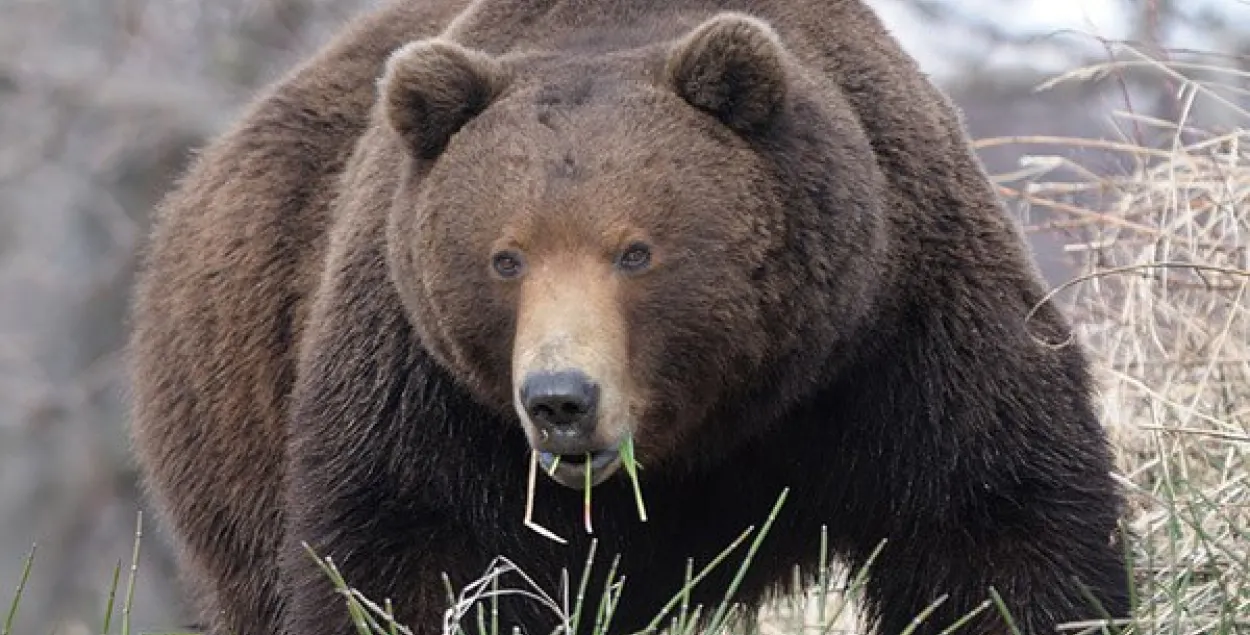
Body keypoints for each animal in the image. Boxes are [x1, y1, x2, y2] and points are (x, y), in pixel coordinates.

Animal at [126, 1, 1135, 635]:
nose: (560, 399)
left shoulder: (899, 332)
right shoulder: (424, 387)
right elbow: (411, 561)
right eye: (505, 256)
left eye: (636, 250)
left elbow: (993, 525)